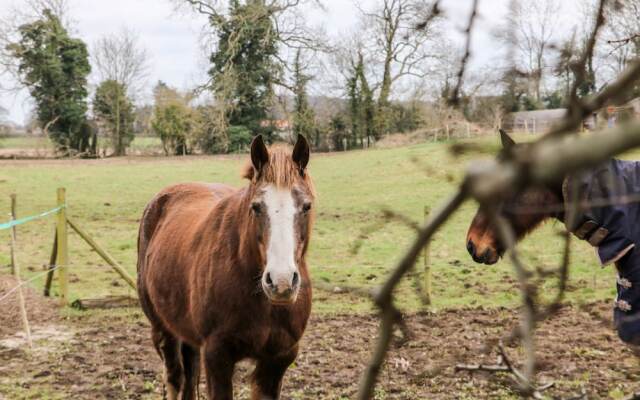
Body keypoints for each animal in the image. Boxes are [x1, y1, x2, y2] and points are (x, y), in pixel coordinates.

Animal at [138, 136, 316, 398]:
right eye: (256, 206)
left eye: (306, 206)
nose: (281, 282)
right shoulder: (216, 355)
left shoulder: (278, 359)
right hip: (163, 329)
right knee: (175, 378)